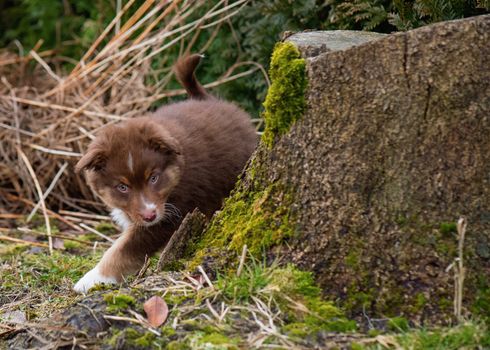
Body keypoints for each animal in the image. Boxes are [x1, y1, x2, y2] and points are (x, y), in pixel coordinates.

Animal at [73, 54, 256, 292]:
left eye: (154, 178)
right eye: (122, 187)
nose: (150, 215)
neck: (178, 173)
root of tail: (209, 100)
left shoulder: (172, 213)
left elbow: (124, 249)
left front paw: (91, 278)